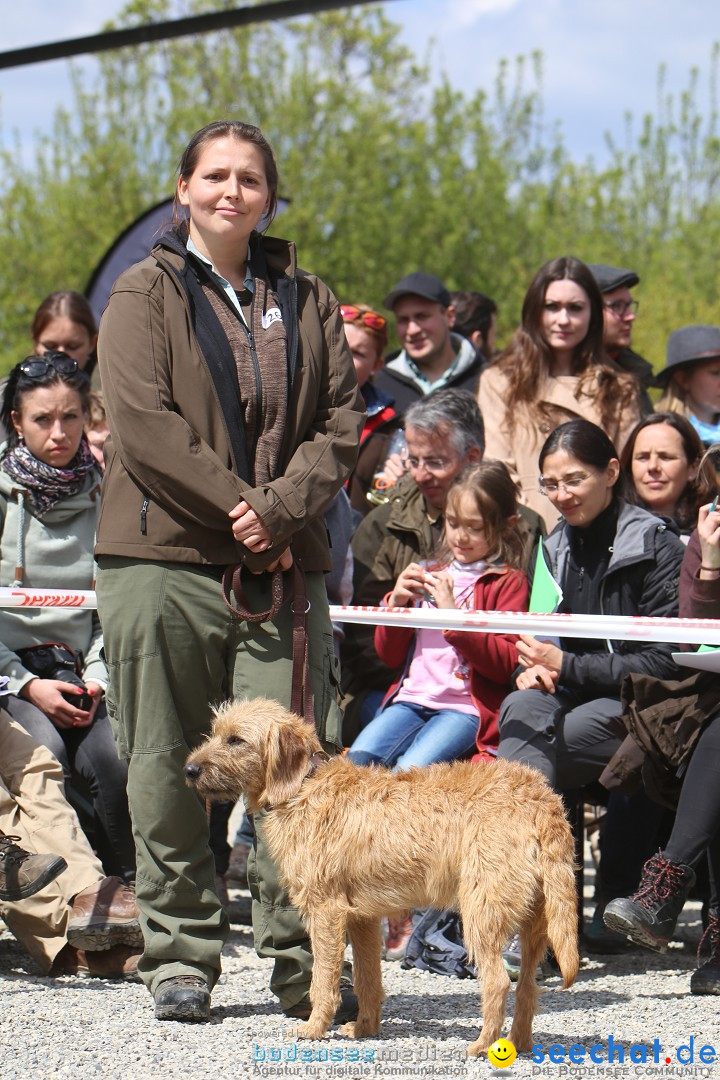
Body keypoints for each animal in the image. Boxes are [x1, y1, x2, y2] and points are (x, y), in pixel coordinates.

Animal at [185, 691, 578, 1054]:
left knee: (497, 982)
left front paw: (313, 1028)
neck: (303, 785)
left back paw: (482, 1045)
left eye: (236, 740)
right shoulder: (363, 919)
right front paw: (364, 1028)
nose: (189, 770)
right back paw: (518, 1043)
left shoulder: (325, 912)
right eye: (215, 734)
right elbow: (367, 979)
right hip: (536, 923)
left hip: (482, 913)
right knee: (527, 985)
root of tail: (540, 797)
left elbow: (322, 979)